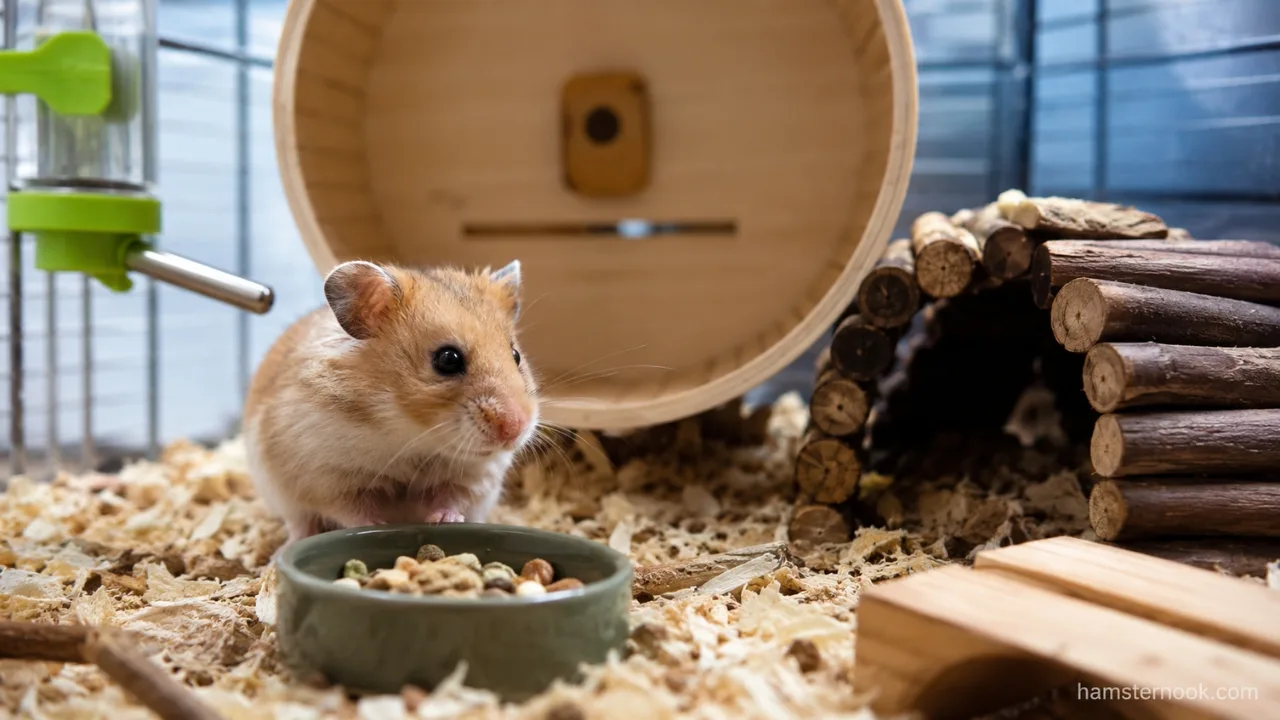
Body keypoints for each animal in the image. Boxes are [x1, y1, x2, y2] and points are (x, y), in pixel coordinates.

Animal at [242, 259, 539, 548]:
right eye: (447, 359)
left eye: (515, 355)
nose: (515, 429)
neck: (409, 433)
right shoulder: (323, 474)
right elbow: (350, 508)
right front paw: (379, 524)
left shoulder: (475, 477)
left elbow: (454, 498)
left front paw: (442, 520)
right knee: (300, 522)